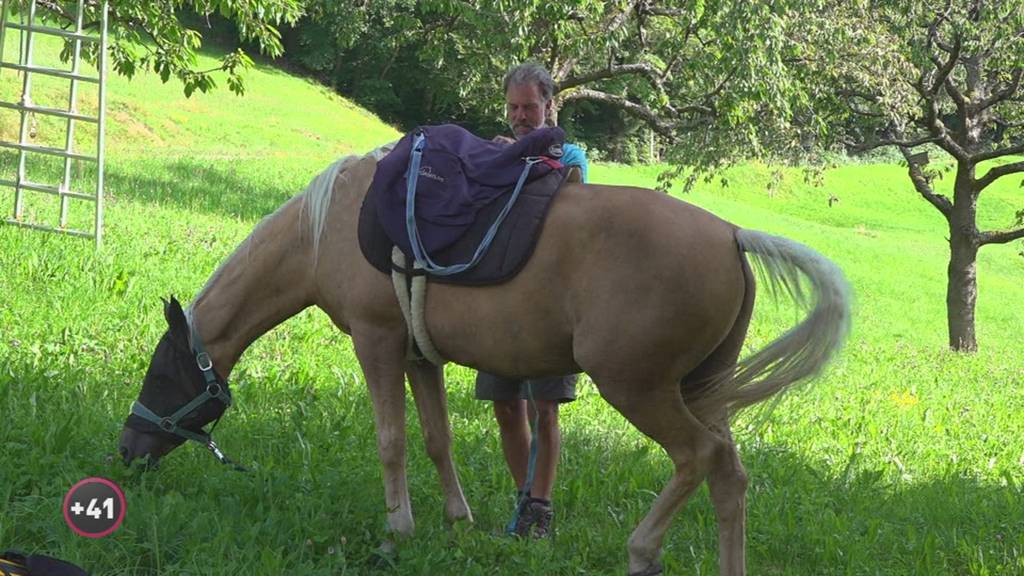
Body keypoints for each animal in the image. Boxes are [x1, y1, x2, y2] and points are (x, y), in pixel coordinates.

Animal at [117, 144, 847, 573]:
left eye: (161, 371)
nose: (126, 448)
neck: (328, 230)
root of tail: (733, 236)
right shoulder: (419, 356)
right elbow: (436, 439)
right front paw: (457, 522)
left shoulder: (376, 341)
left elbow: (390, 441)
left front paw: (397, 531)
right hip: (699, 388)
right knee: (730, 476)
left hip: (639, 388)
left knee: (699, 458)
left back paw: (642, 551)